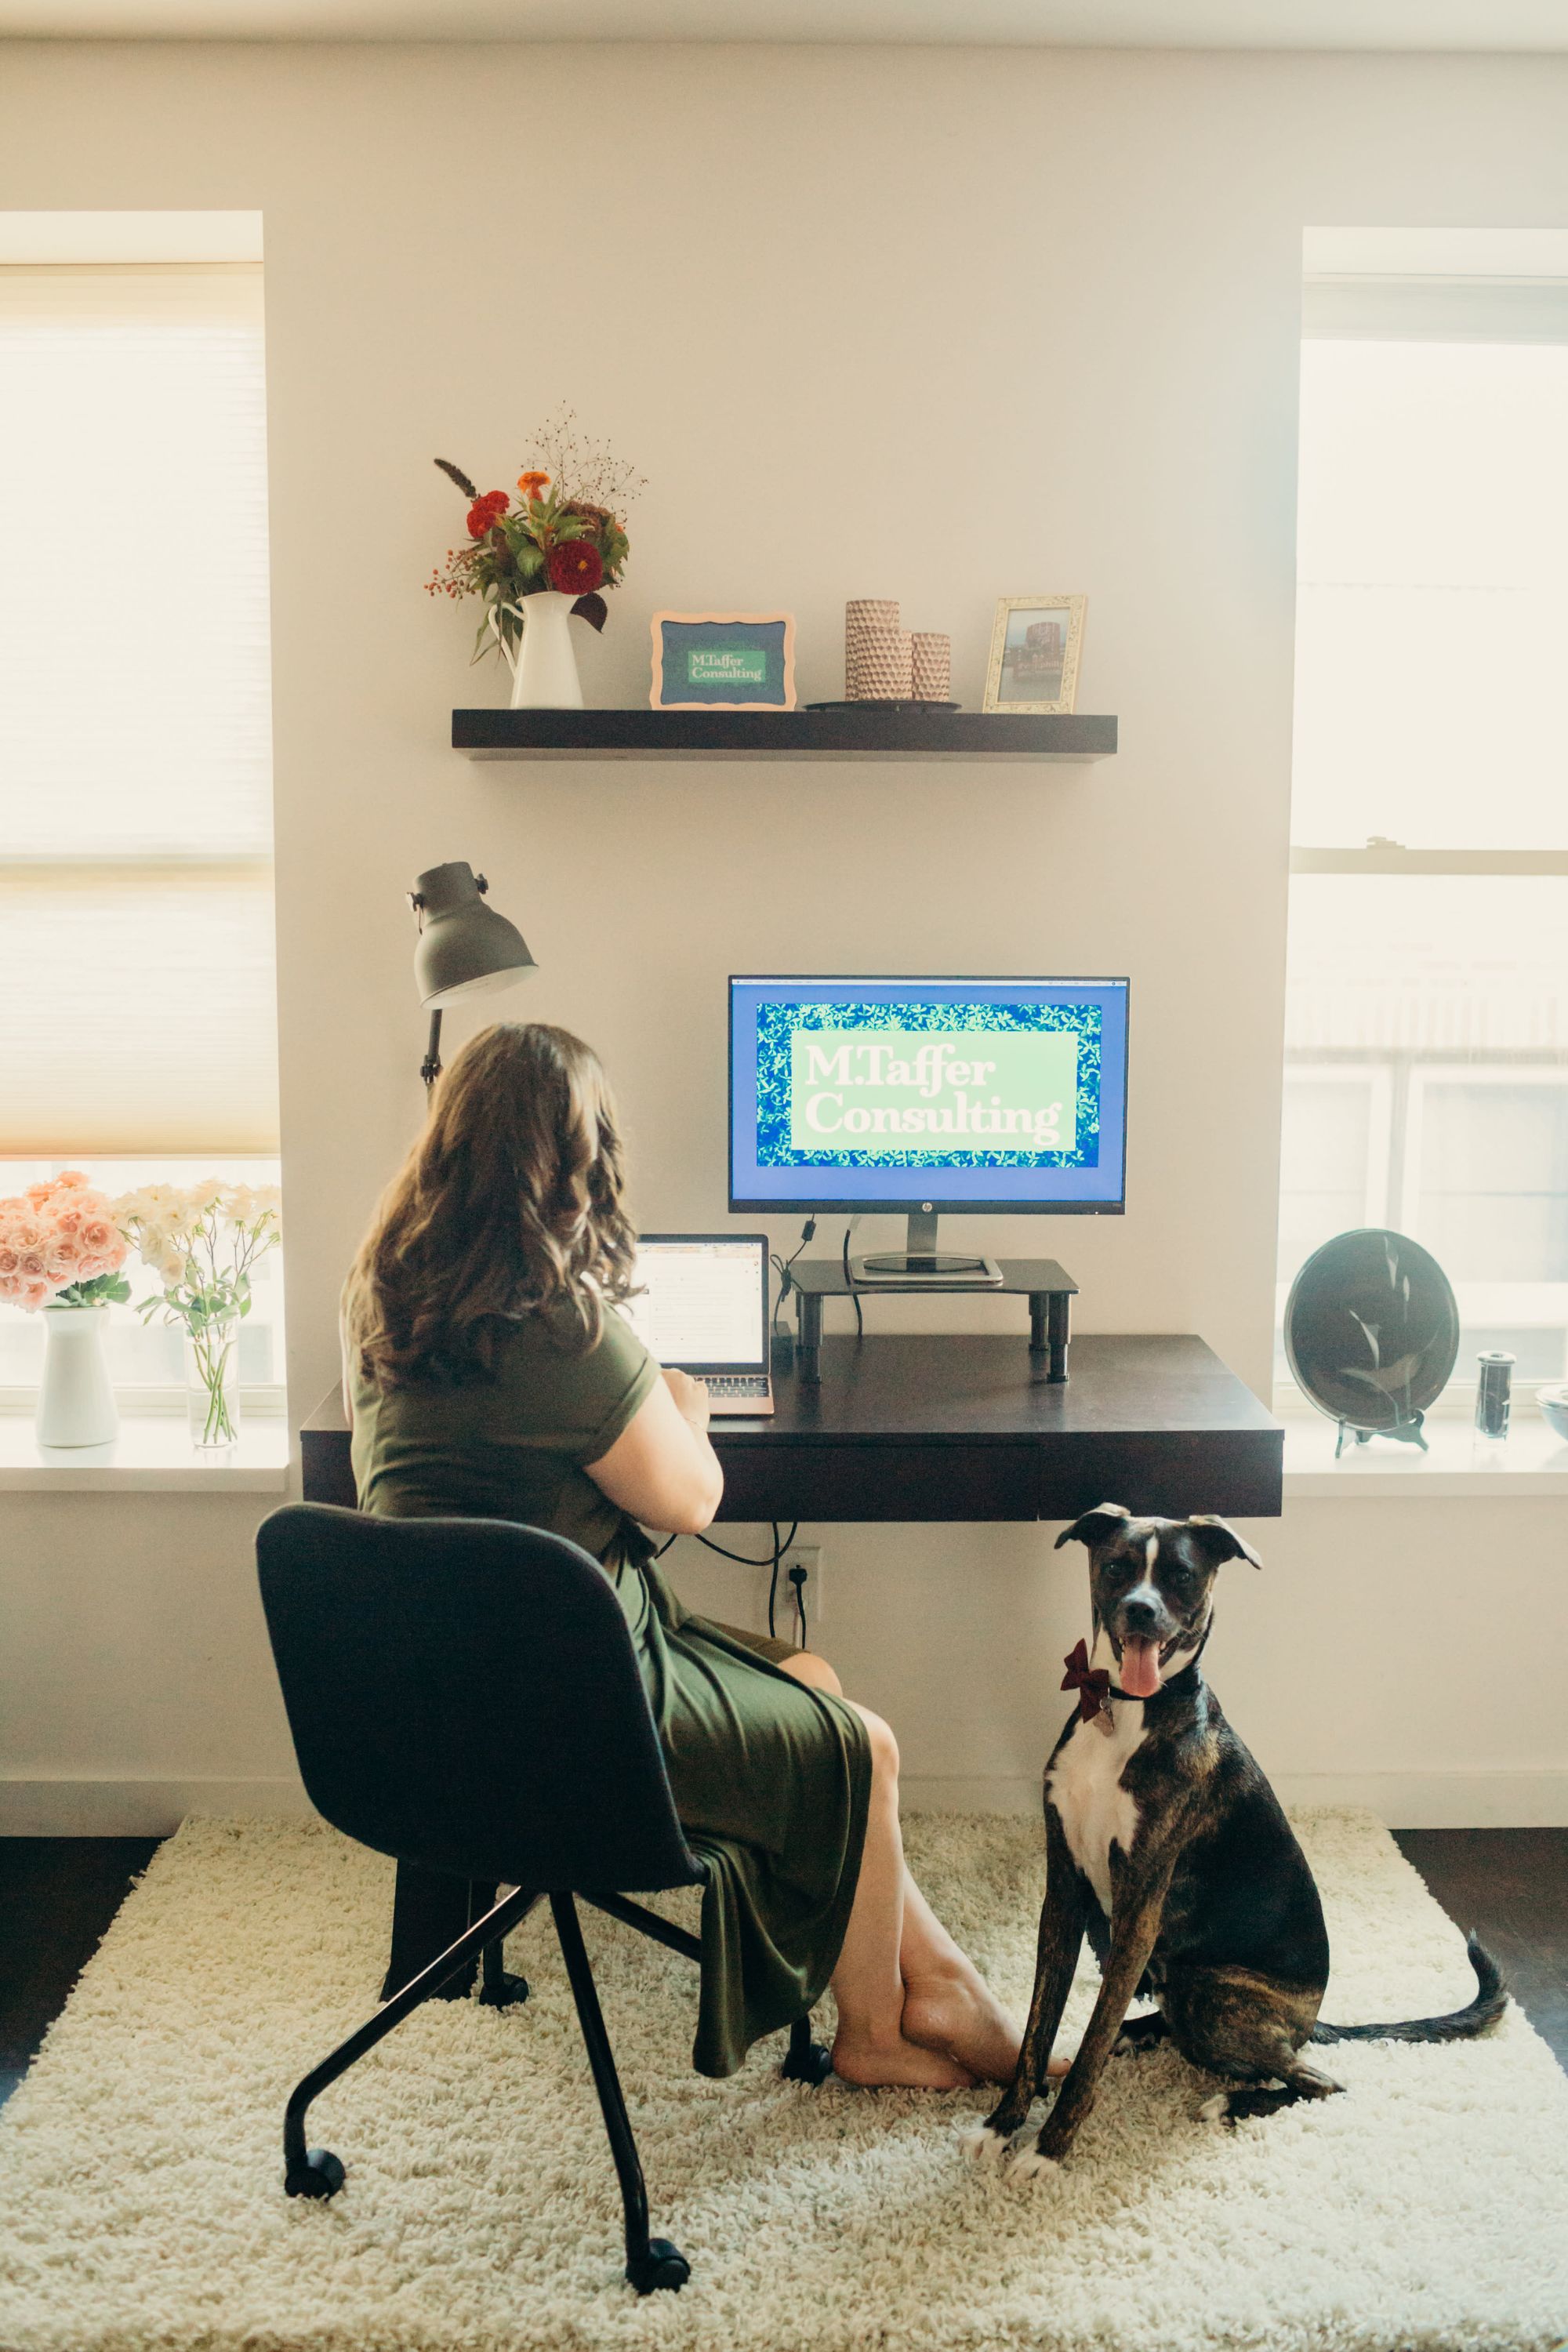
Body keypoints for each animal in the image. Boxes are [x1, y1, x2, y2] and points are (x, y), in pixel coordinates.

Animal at [968, 1496, 1504, 2173]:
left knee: (1319, 2081)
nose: (1141, 1610)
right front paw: (1002, 2123)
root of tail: (1309, 2018)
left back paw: (1228, 2100)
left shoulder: (1139, 1904)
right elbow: (1038, 2030)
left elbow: (1087, 2046)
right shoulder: (1063, 1893)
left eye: (1181, 1576)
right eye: (1117, 1568)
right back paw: (1140, 2032)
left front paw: (1048, 2148)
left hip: (1213, 1992)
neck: (1129, 1713)